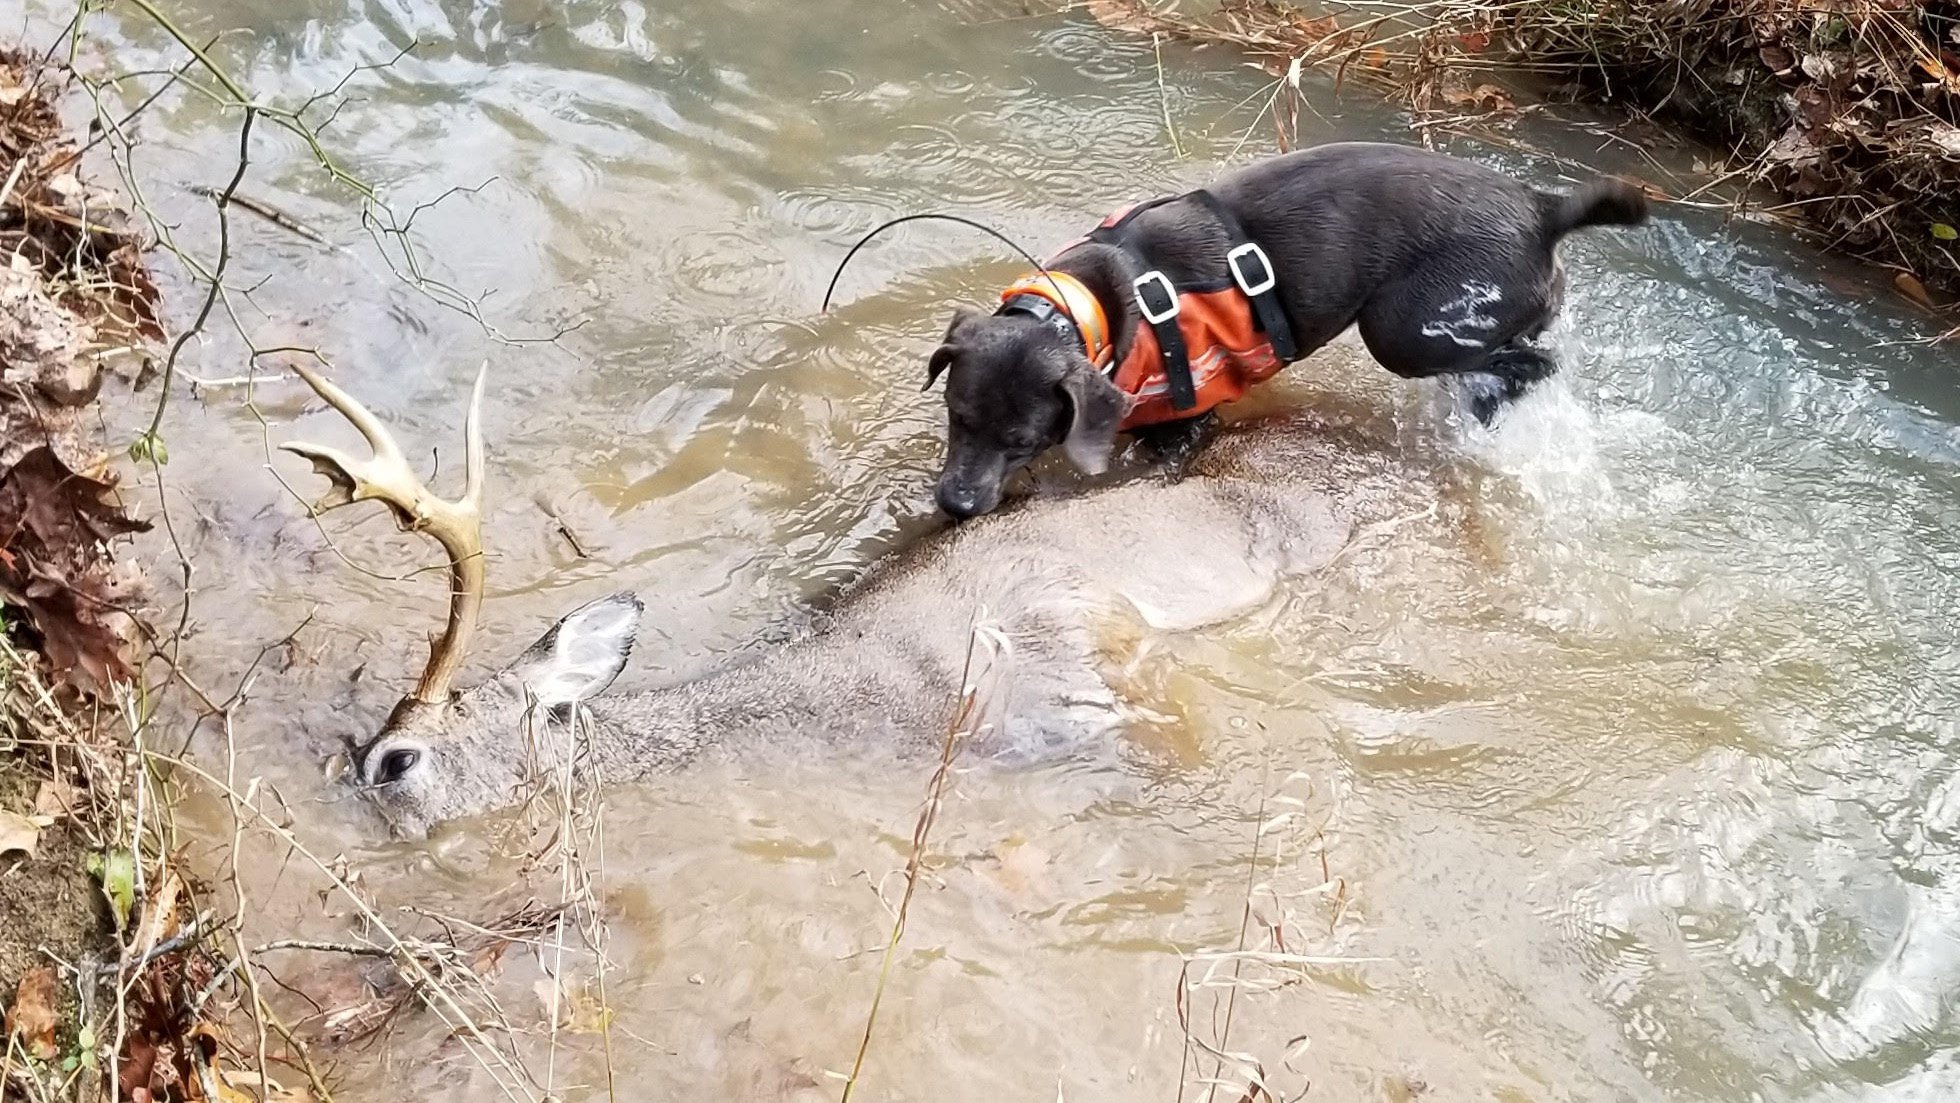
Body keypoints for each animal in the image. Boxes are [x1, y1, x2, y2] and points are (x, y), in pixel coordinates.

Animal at [925, 140, 1646, 521]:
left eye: (1022, 440)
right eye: (957, 416)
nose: (955, 504)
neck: (1090, 305)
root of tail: (1543, 208)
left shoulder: (1185, 428)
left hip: (1404, 332)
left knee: (1532, 365)